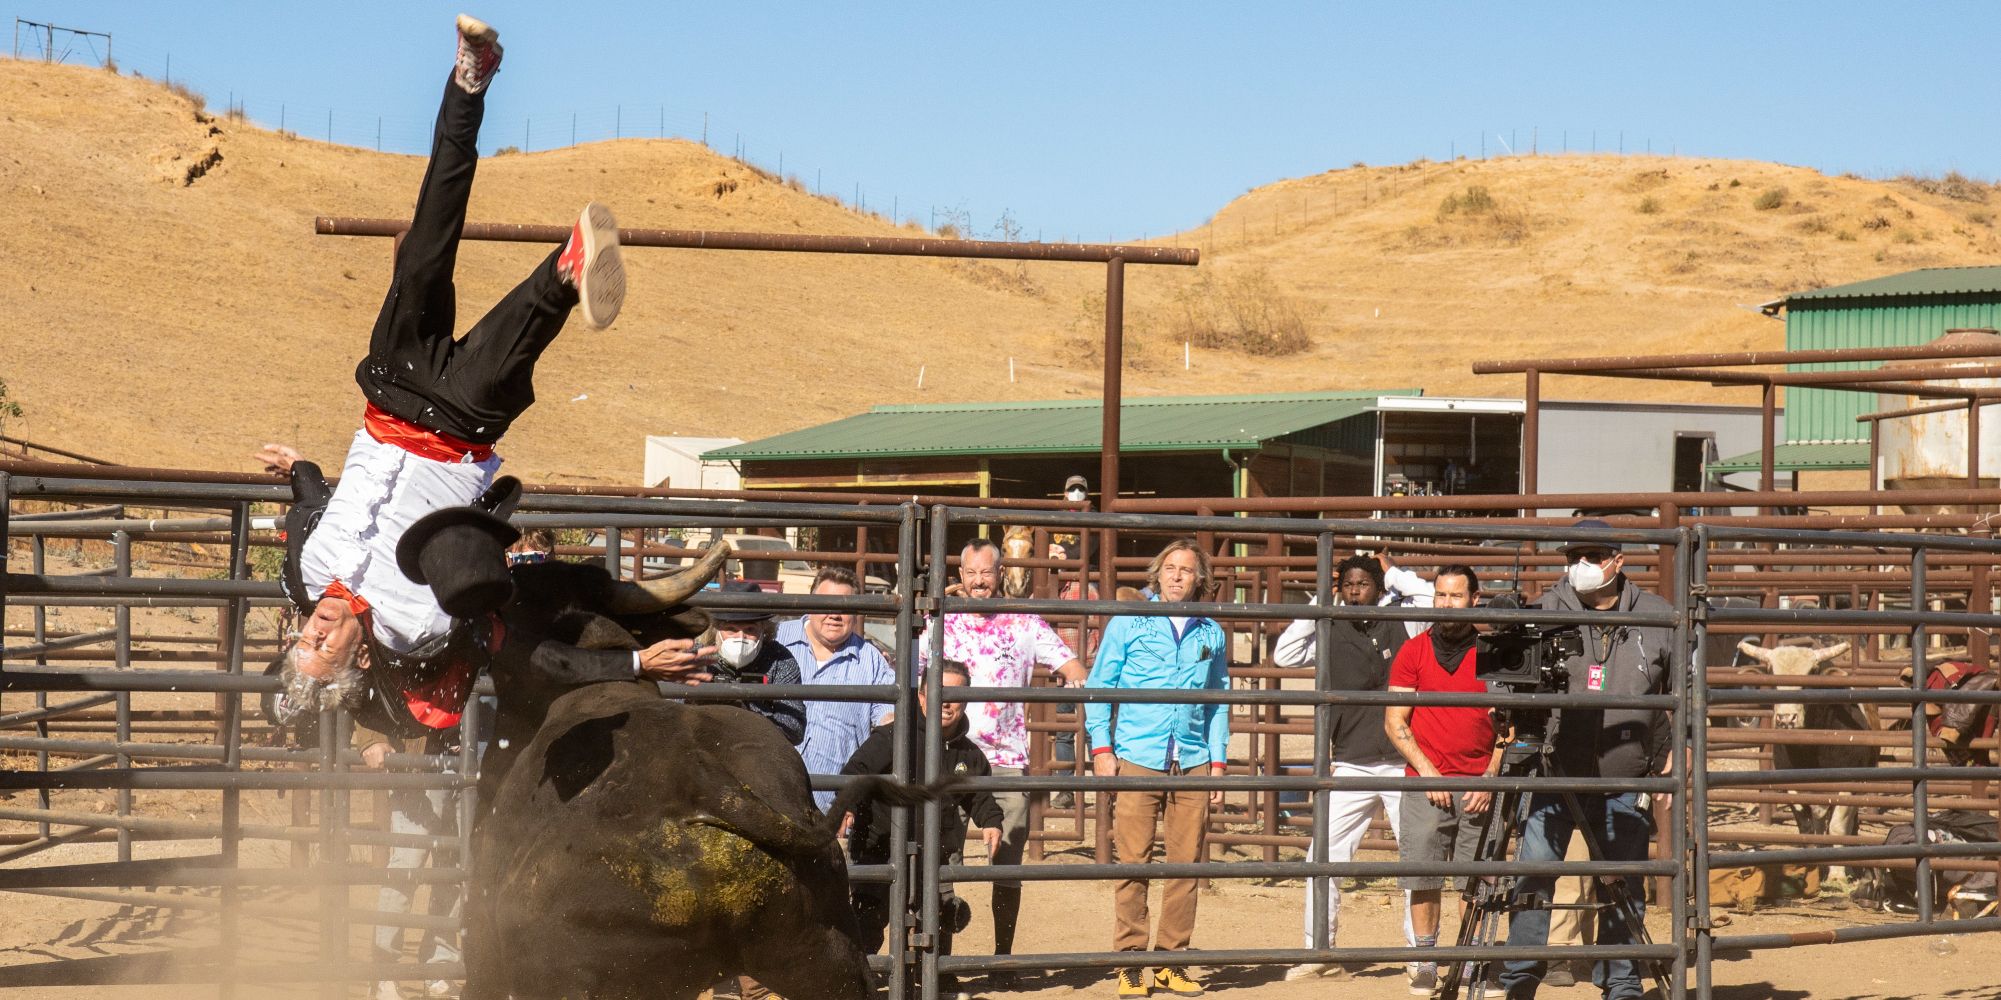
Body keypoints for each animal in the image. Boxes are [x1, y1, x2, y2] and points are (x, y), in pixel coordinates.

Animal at [1736, 636, 1872, 872]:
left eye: (1809, 677)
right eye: (1771, 678)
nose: (1786, 719)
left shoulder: (1849, 785)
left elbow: (1838, 828)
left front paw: (1837, 874)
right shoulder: (1794, 788)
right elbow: (1806, 829)